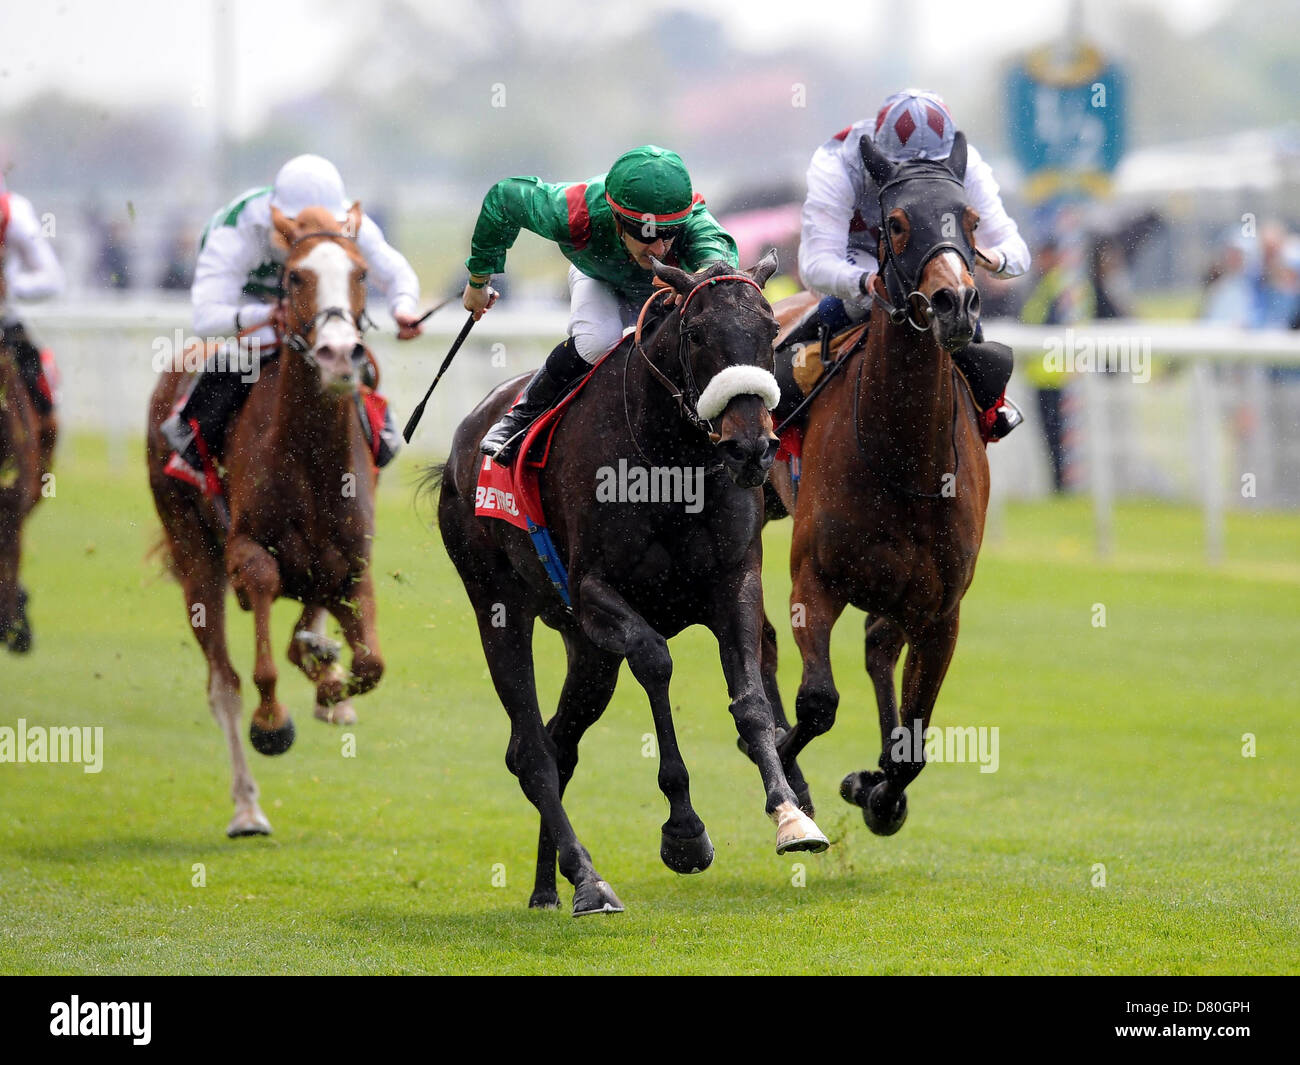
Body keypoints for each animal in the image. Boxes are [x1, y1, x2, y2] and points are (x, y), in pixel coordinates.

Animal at [146, 204, 382, 842]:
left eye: (361, 272)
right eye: (296, 276)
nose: (339, 354)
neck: (311, 456)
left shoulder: (354, 562)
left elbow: (369, 663)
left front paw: (329, 680)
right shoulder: (246, 549)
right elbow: (262, 606)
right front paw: (274, 720)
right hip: (193, 552)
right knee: (222, 684)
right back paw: (247, 808)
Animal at [431, 252, 826, 915]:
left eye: (771, 331)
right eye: (698, 335)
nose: (751, 447)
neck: (671, 465)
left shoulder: (734, 584)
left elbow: (749, 701)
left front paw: (791, 814)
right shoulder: (594, 595)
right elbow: (656, 660)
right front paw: (684, 830)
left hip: (589, 656)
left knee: (558, 743)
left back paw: (549, 886)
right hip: (498, 604)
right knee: (531, 751)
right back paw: (588, 879)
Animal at [759, 131, 982, 832]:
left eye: (970, 220)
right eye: (898, 223)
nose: (955, 303)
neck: (903, 456)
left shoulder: (941, 611)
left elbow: (911, 748)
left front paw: (878, 790)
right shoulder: (816, 578)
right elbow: (817, 702)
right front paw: (787, 776)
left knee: (878, 646)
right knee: (764, 639)